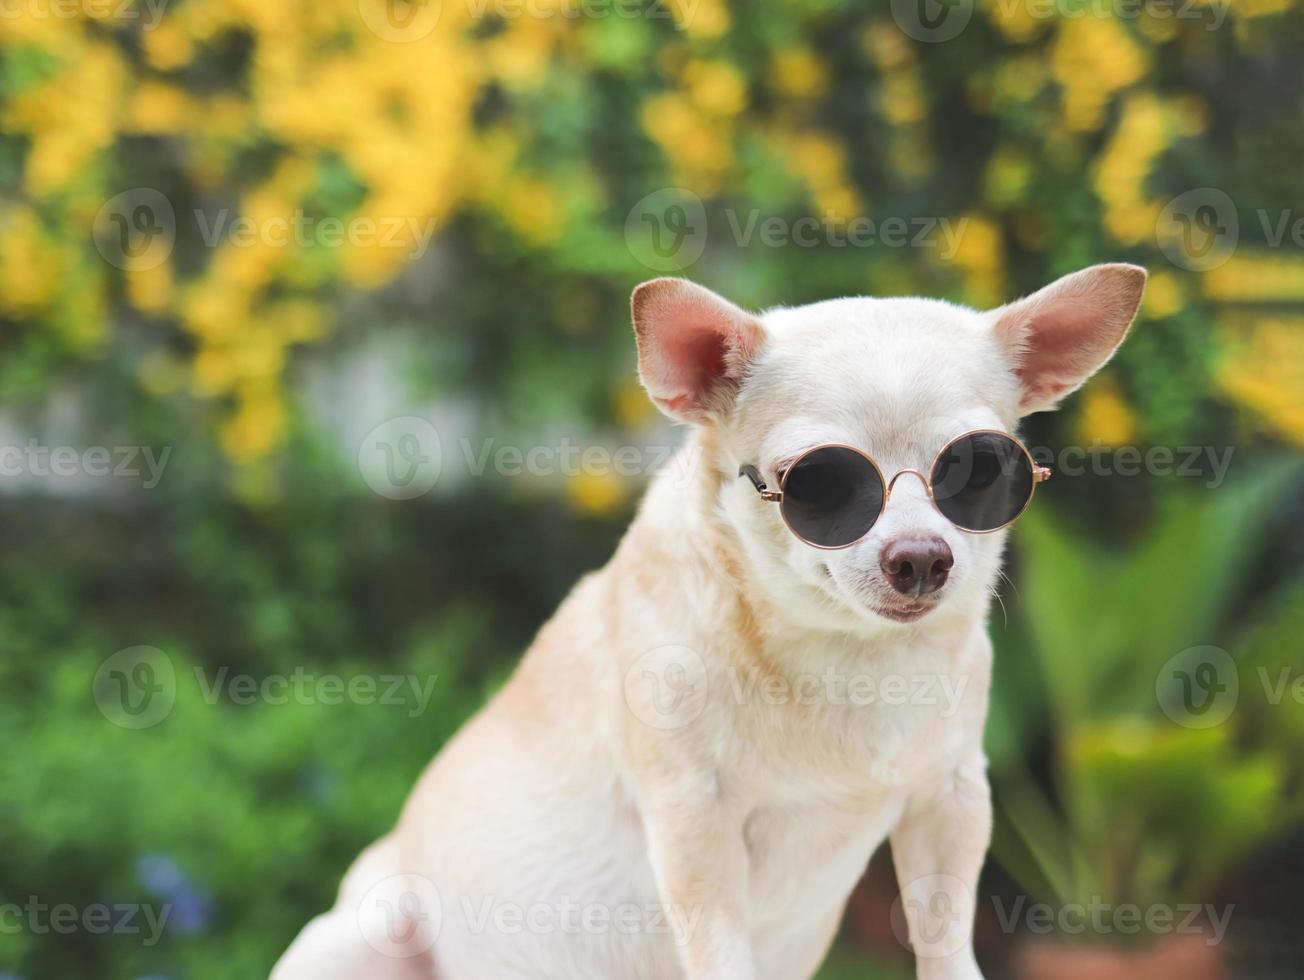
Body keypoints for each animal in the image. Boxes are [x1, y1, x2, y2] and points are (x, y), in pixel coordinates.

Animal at [272, 261, 1142, 980]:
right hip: (363, 933)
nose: (923, 556)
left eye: (978, 472)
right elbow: (720, 952)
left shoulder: (950, 801)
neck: (847, 655)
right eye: (822, 487)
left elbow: (944, 936)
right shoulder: (695, 823)